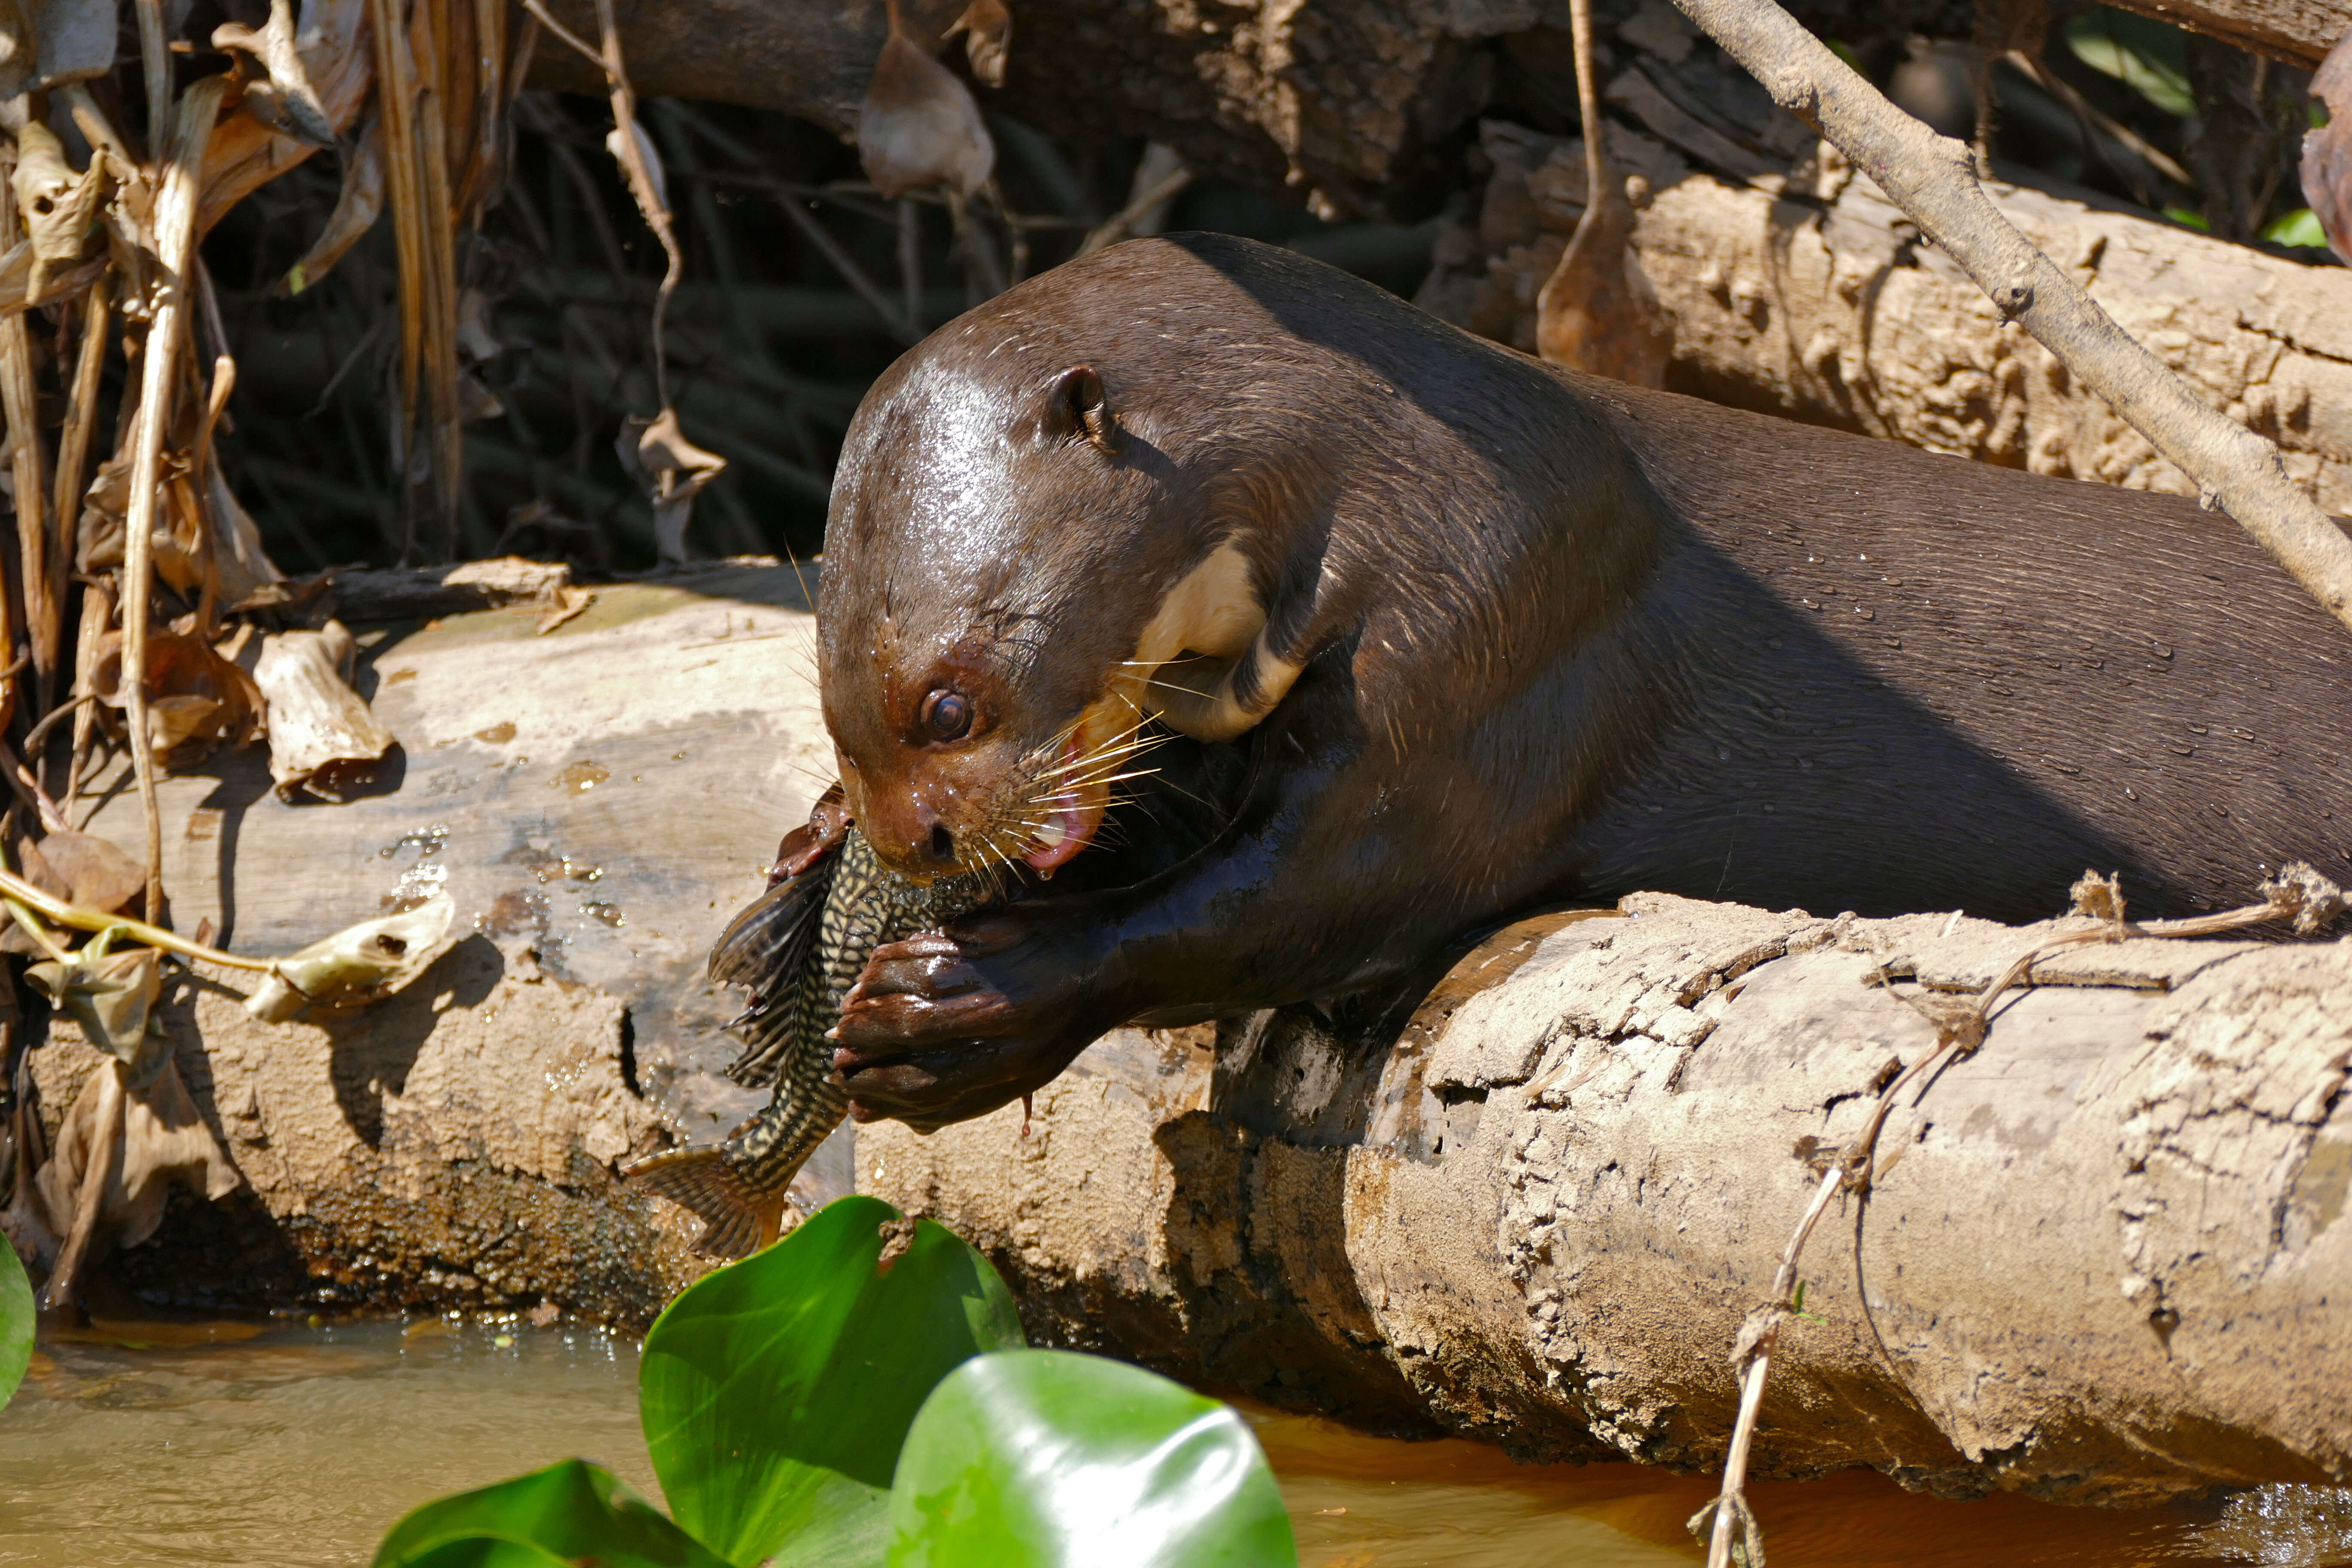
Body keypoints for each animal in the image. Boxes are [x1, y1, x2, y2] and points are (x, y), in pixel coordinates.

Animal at [814, 230, 2352, 1128]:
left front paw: (953, 1009)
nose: (910, 839)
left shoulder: (1491, 620)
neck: (1390, 471)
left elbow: (1300, 901)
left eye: (947, 702)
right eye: (837, 711)